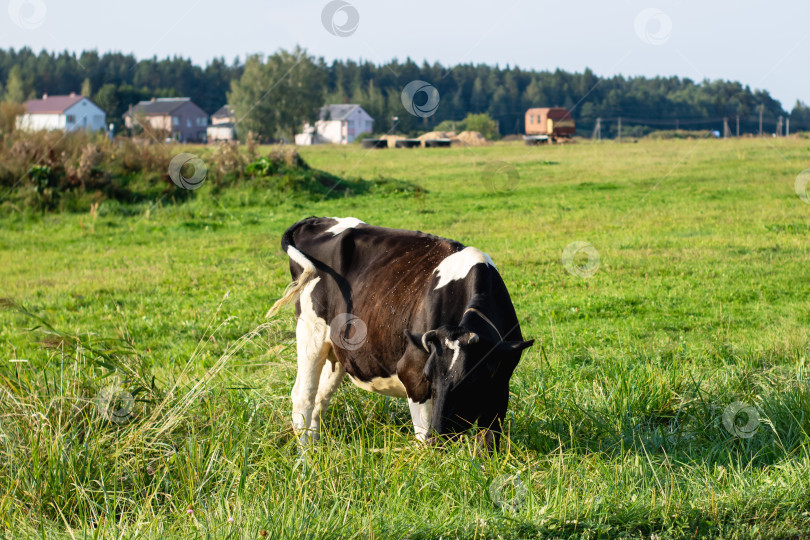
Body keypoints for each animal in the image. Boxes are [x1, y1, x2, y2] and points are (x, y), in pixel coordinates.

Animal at [268, 217, 532, 450]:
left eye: (471, 380)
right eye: (429, 376)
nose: (439, 435)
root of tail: (316, 220)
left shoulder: (500, 387)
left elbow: (488, 445)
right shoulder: (412, 373)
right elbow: (422, 438)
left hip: (337, 351)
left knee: (321, 398)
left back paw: (316, 449)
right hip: (310, 330)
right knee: (303, 396)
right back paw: (305, 458)